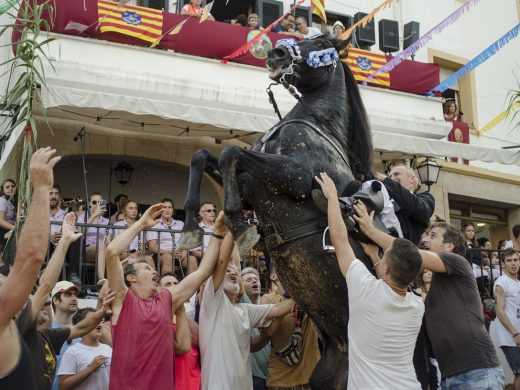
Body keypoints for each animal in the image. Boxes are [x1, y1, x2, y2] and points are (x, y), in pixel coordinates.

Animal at [178, 35, 374, 388]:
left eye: (320, 42)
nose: (277, 52)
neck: (316, 124)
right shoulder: (250, 184)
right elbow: (203, 155)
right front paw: (190, 228)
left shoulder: (298, 177)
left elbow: (230, 152)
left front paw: (241, 227)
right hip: (329, 368)